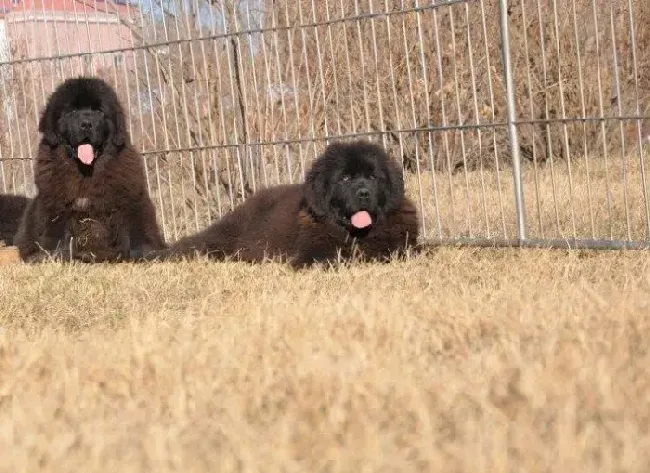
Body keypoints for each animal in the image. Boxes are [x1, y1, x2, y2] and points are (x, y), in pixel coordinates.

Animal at [13, 76, 166, 264]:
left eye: (98, 111)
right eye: (72, 111)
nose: (86, 124)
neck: (85, 172)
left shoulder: (129, 200)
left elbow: (136, 230)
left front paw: (143, 253)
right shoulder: (55, 204)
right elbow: (54, 233)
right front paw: (52, 256)